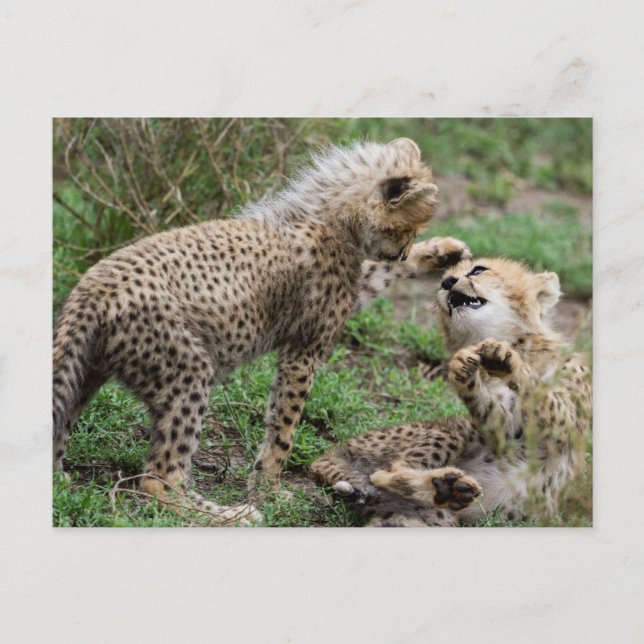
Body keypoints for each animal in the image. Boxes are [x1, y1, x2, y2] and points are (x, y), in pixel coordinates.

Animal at [52, 137, 472, 525]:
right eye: (408, 227)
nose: (403, 249)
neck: (329, 215)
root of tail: (92, 286)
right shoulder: (304, 349)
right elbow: (283, 427)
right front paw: (268, 490)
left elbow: (378, 273)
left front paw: (442, 251)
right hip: (185, 372)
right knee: (158, 480)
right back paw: (227, 514)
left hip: (86, 372)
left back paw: (62, 484)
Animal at [310, 252, 592, 526]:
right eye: (442, 281)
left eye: (478, 270)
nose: (447, 283)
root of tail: (331, 452)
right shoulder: (503, 432)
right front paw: (463, 367)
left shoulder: (567, 427)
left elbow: (541, 395)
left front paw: (504, 358)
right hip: (452, 433)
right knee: (384, 473)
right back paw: (446, 486)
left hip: (420, 520)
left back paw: (448, 489)